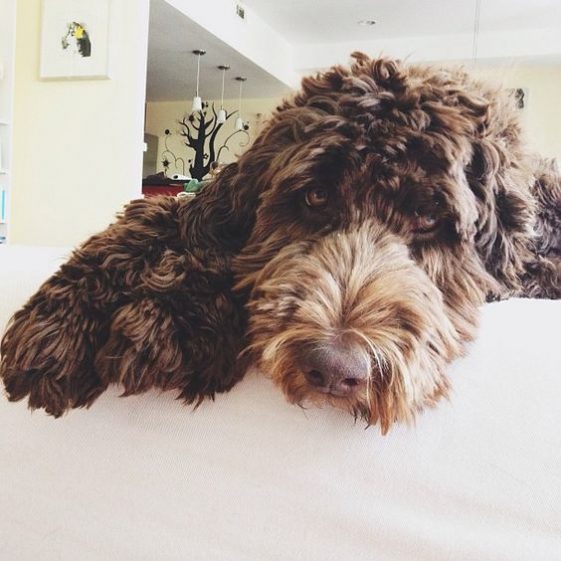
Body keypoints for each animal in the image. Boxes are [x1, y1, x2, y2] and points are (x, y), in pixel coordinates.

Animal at [1, 54, 560, 430]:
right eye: (315, 196)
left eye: (427, 217)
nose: (335, 368)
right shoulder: (212, 206)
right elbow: (155, 214)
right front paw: (60, 327)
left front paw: (165, 320)